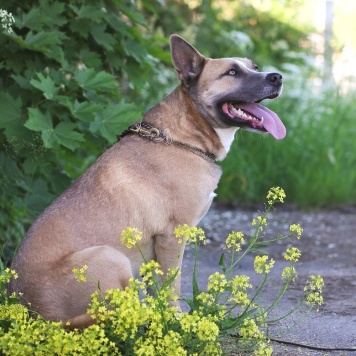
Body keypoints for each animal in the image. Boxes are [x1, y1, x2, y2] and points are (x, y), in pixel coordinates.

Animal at [9, 34, 286, 328]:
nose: (277, 77)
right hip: (111, 257)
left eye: (254, 67)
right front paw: (174, 320)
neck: (182, 139)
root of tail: (29, 314)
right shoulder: (172, 236)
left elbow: (159, 287)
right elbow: (171, 285)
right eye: (231, 72)